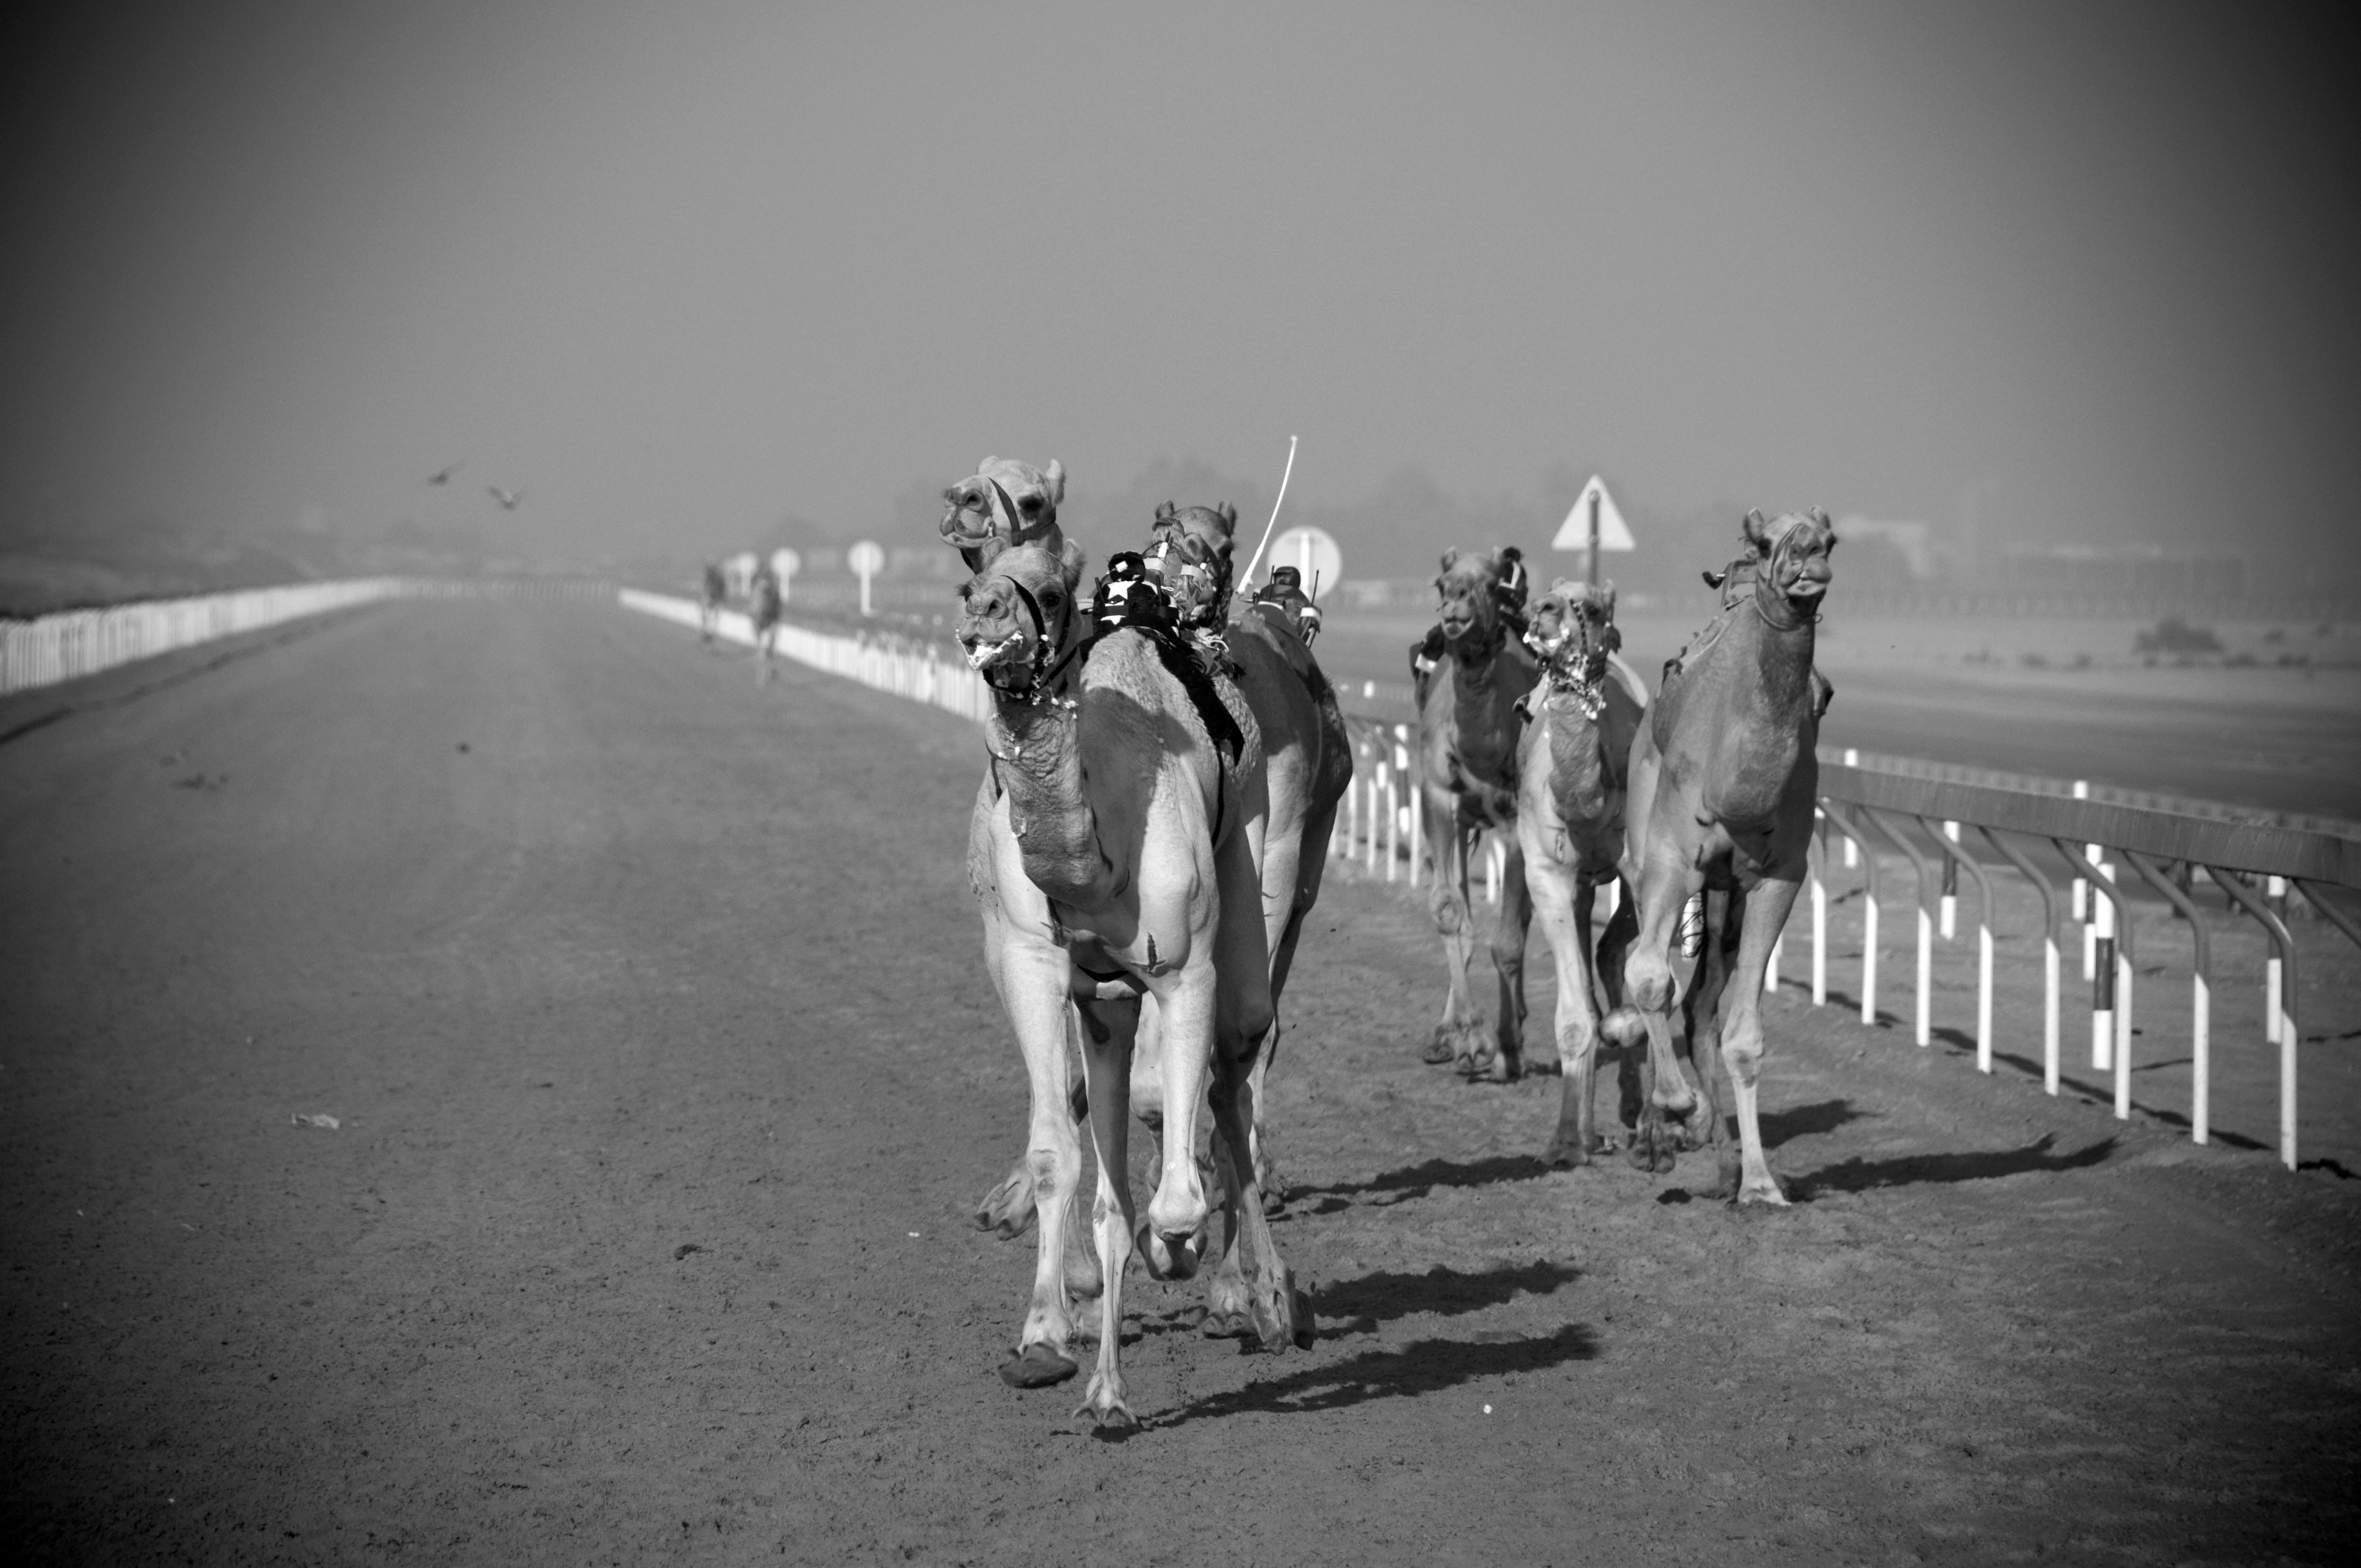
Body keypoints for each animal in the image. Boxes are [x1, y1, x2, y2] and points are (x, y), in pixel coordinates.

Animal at [969, 495, 1348, 1339]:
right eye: (971, 580)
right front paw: (1047, 1322)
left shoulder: (1185, 963)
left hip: (1275, 867)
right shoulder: (1027, 959)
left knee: (1241, 1053)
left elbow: (1180, 1097)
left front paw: (1186, 1250)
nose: (984, 617)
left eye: (1053, 592)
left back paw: (1256, 1291)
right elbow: (1060, 1139)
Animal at [1608, 509, 1837, 1204]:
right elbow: (1647, 975)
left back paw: (1721, 1154)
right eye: (1765, 543)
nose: (1808, 555)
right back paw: (1663, 1130)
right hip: (1647, 847)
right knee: (1648, 967)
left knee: (1703, 1002)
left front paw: (1760, 1184)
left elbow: (1743, 1036)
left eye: (1831, 539)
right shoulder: (1670, 855)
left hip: (1723, 895)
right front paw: (1674, 1108)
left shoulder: (1778, 877)